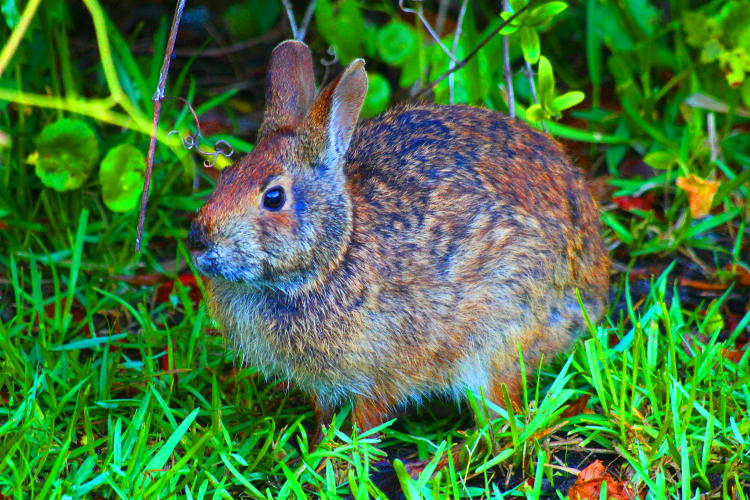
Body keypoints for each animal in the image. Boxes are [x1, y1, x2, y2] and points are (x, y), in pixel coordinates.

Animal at [188, 40, 612, 434]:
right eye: (226, 175)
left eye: (273, 198)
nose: (198, 242)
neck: (335, 256)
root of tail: (592, 284)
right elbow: (324, 413)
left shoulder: (381, 371)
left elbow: (367, 420)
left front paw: (335, 460)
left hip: (498, 336)